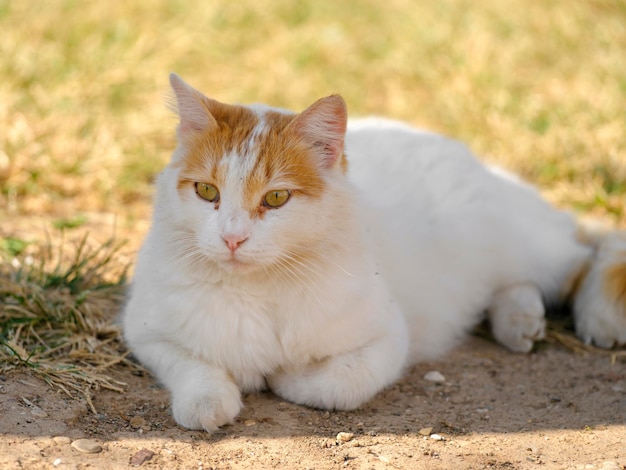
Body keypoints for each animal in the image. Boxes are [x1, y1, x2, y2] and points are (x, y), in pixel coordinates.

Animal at [122, 72, 624, 430]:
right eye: (207, 191)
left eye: (276, 198)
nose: (232, 238)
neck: (259, 289)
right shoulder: (145, 330)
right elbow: (193, 370)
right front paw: (210, 399)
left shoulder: (387, 338)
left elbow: (337, 383)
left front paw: (282, 377)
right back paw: (519, 321)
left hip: (527, 244)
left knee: (588, 251)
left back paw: (594, 317)